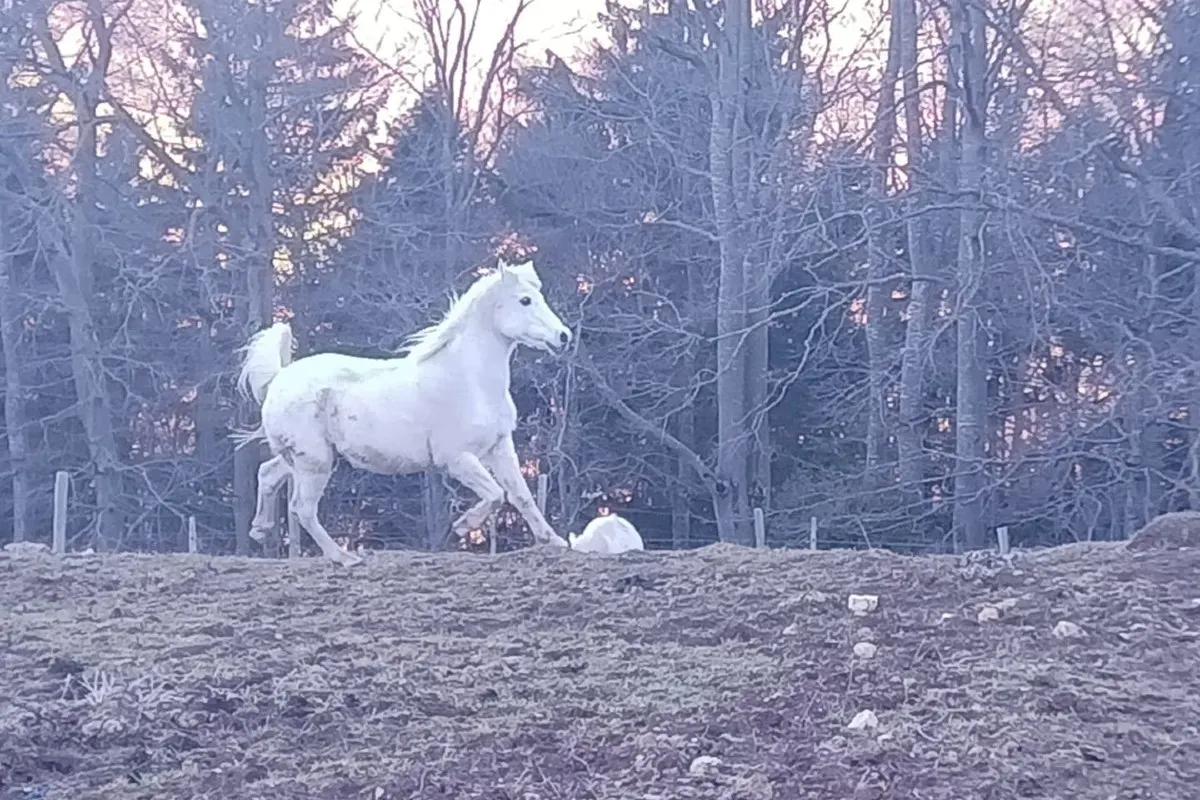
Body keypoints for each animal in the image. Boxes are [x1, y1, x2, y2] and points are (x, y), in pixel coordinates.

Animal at [232, 257, 574, 565]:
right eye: (525, 300)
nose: (564, 336)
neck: (470, 380)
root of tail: (279, 378)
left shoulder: (499, 447)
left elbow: (521, 495)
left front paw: (556, 542)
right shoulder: (456, 459)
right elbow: (495, 494)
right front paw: (463, 525)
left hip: (306, 458)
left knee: (268, 474)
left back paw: (260, 529)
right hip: (314, 463)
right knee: (302, 508)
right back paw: (345, 558)